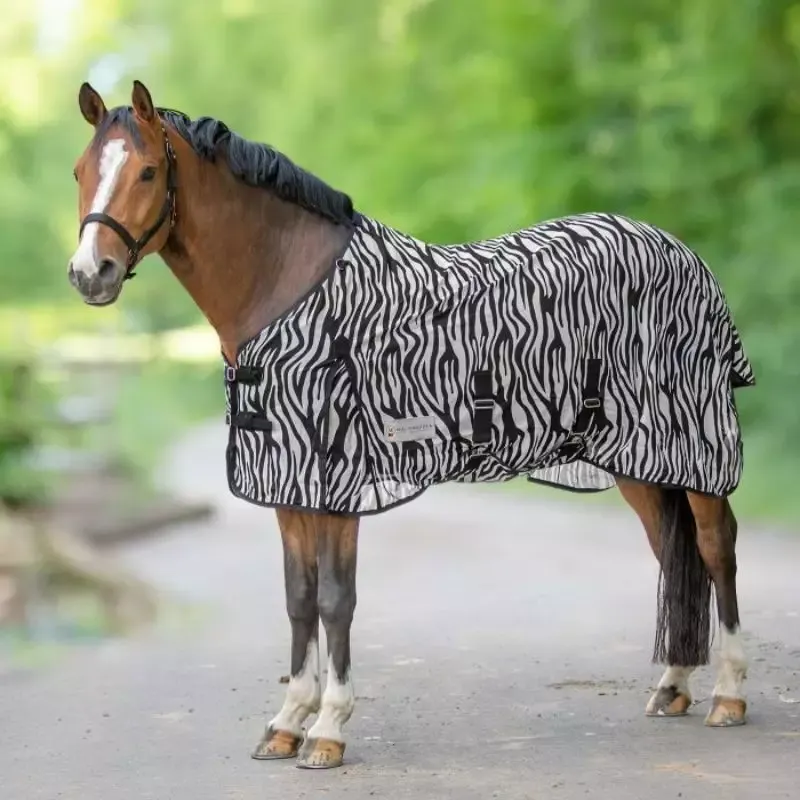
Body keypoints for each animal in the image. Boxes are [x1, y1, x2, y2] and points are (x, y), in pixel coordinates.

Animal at [67, 80, 754, 770]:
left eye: (148, 170)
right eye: (80, 171)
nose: (90, 274)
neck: (288, 287)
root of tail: (683, 252)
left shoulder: (337, 484)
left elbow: (335, 601)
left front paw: (328, 729)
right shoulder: (289, 484)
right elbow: (297, 599)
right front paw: (287, 722)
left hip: (696, 447)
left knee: (715, 548)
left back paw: (728, 695)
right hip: (640, 460)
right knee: (672, 552)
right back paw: (672, 686)